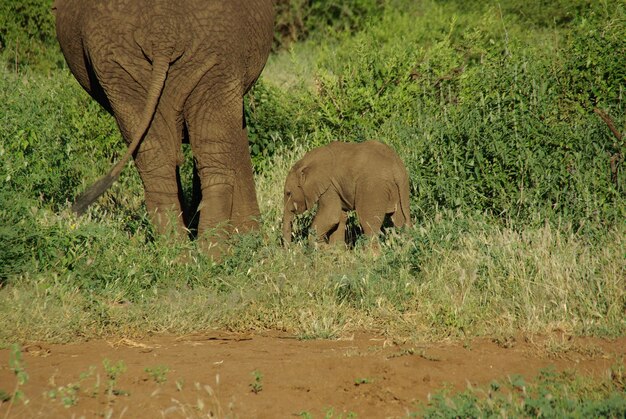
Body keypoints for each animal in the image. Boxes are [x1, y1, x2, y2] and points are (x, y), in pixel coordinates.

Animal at [54, 0, 274, 249]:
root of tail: (162, 36)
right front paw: (250, 241)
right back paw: (209, 254)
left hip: (126, 63)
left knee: (168, 161)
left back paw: (183, 254)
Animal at [282, 142, 410, 246]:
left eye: (288, 193)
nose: (289, 249)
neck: (305, 162)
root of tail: (396, 168)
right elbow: (340, 217)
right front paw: (334, 250)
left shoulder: (329, 186)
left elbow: (331, 216)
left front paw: (322, 249)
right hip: (400, 189)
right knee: (399, 220)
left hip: (372, 188)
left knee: (368, 224)